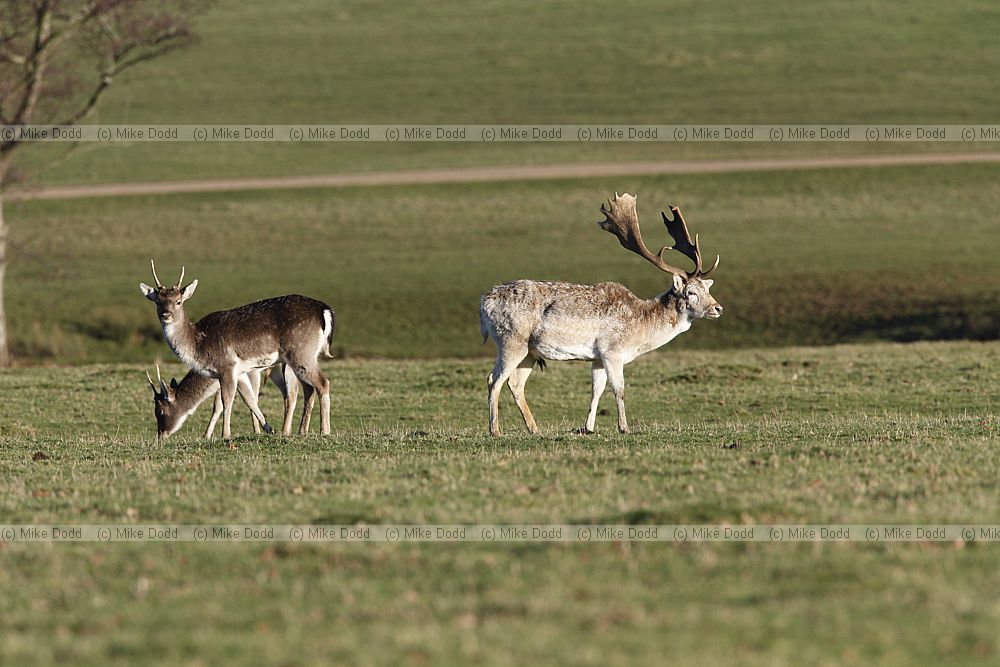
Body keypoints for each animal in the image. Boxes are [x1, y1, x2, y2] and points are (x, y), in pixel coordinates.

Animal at [145, 364, 300, 439]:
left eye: (159, 411)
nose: (160, 435)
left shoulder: (245, 373)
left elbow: (250, 398)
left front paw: (264, 430)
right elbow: (218, 405)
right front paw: (206, 435)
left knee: (296, 391)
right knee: (287, 392)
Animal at [479, 192, 722, 436]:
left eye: (707, 289)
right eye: (691, 292)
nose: (718, 308)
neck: (640, 332)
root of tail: (483, 302)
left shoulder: (596, 357)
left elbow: (597, 389)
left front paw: (588, 427)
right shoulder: (612, 351)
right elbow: (619, 389)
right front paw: (624, 427)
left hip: (529, 351)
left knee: (515, 384)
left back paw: (534, 429)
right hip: (510, 341)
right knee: (494, 379)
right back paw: (495, 430)